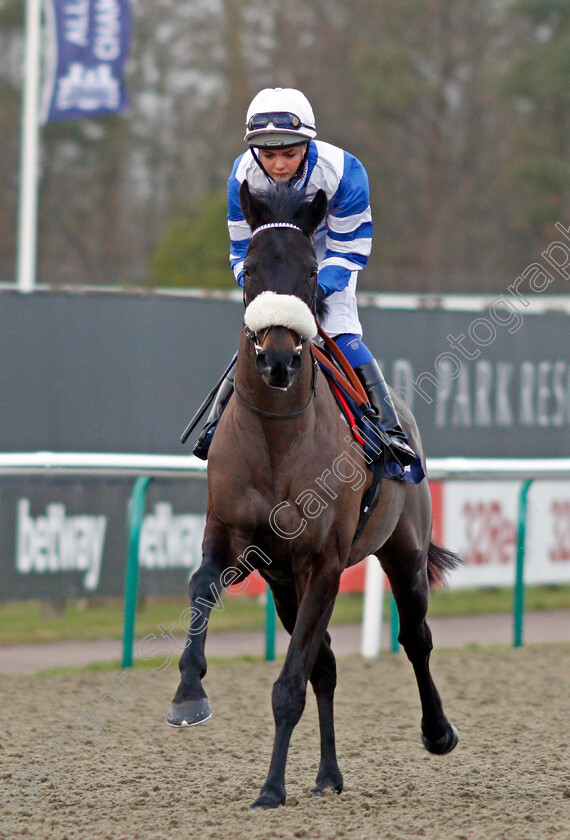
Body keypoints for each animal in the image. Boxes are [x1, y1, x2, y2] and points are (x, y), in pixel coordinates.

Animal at [166, 180, 460, 812]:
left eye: (308, 272)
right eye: (250, 268)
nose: (278, 359)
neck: (277, 434)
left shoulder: (324, 562)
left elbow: (289, 685)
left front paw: (271, 788)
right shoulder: (233, 538)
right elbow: (203, 587)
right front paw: (188, 693)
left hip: (402, 552)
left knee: (414, 637)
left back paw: (437, 731)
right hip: (283, 583)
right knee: (324, 664)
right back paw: (328, 774)